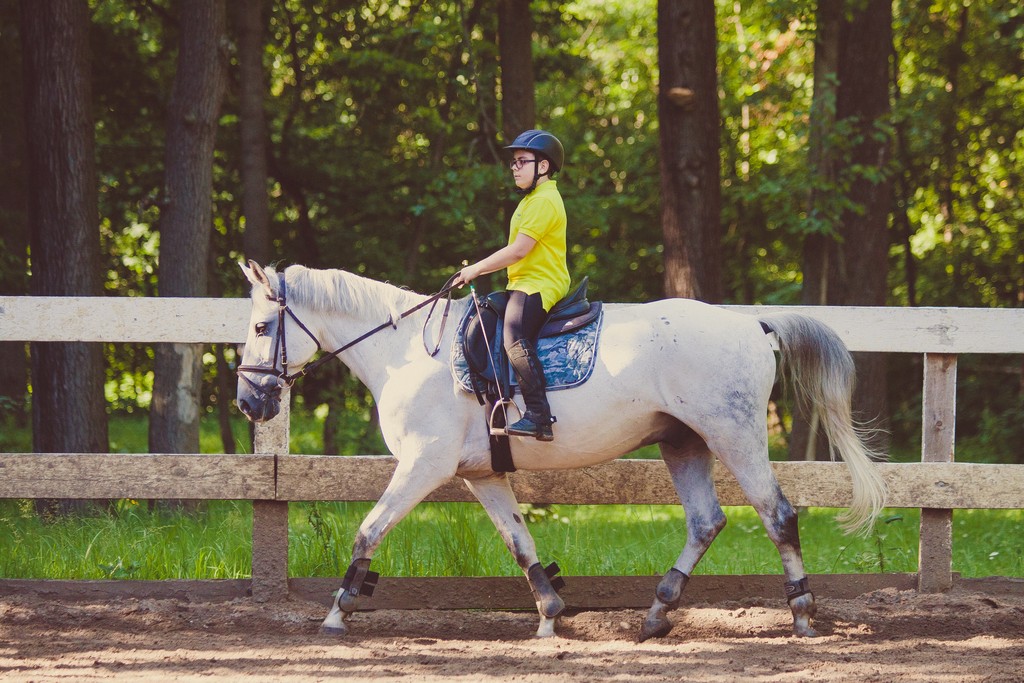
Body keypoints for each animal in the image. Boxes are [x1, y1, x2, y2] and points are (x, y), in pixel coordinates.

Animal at [235, 260, 884, 643]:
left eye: (264, 328)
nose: (249, 401)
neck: (408, 354)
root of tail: (752, 325)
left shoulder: (424, 465)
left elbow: (368, 530)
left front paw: (338, 610)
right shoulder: (479, 475)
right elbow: (519, 541)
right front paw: (550, 613)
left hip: (734, 434)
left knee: (778, 516)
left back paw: (802, 614)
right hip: (684, 443)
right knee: (706, 522)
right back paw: (656, 614)